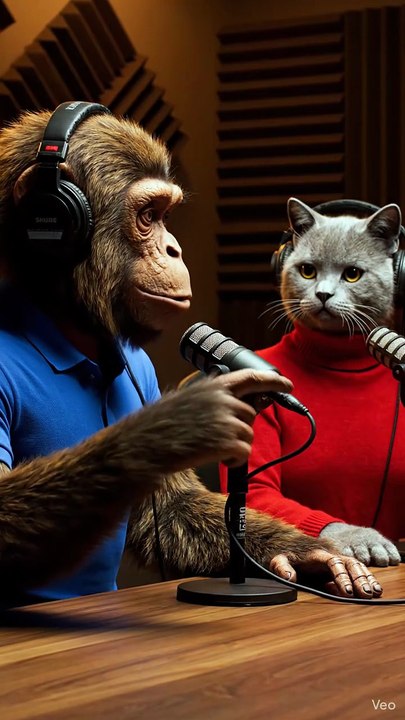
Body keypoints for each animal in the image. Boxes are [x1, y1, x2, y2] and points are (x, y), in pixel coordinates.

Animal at [0, 102, 382, 606]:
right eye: (148, 215)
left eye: (165, 214)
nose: (173, 249)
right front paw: (177, 425)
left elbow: (172, 507)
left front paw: (308, 554)